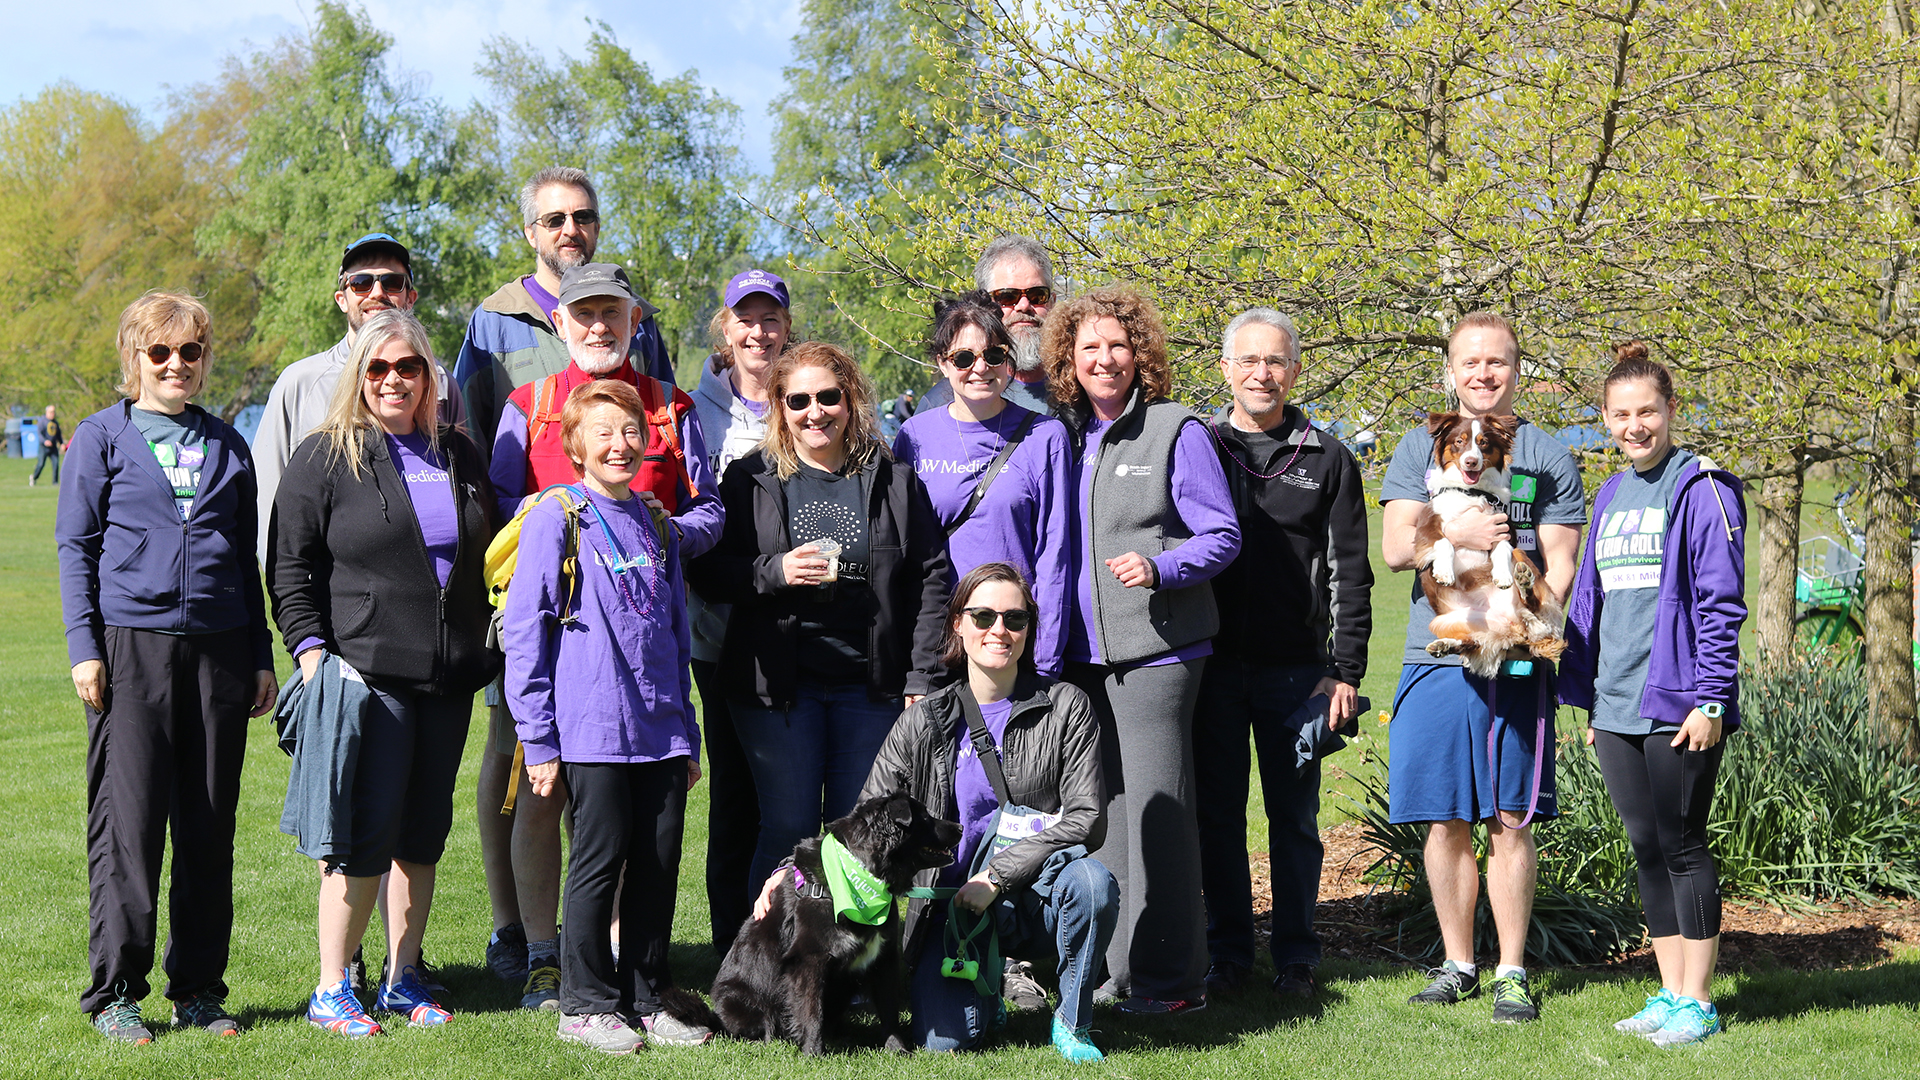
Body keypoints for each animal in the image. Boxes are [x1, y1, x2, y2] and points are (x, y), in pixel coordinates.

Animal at [706, 780, 960, 1053]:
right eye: (924, 816)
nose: (960, 827)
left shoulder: (884, 956)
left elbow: (889, 1010)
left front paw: (897, 1049)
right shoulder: (809, 958)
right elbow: (811, 1011)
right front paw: (813, 1052)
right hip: (741, 1001)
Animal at [1405, 409, 1566, 672]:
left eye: (1483, 443)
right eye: (1459, 441)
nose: (1471, 461)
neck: (1471, 492)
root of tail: (1514, 625)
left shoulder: (1503, 530)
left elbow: (1501, 550)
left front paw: (1502, 576)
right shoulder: (1426, 527)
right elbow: (1445, 542)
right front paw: (1445, 572)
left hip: (1525, 566)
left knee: (1534, 606)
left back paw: (1522, 581)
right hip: (1444, 621)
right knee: (1474, 643)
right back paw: (1444, 645)